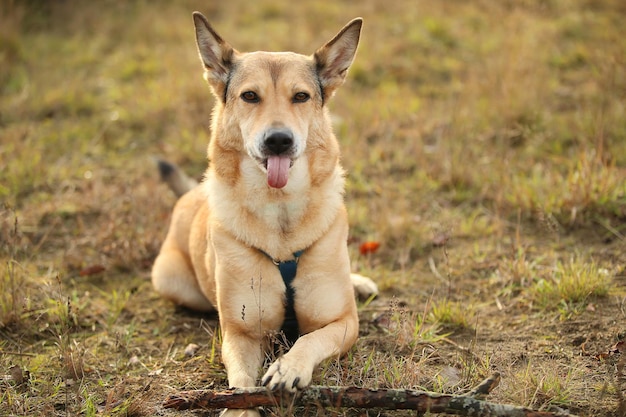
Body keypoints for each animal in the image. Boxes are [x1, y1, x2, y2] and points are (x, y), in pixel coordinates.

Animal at [151, 11, 376, 414]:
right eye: (250, 96)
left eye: (300, 96)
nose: (278, 141)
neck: (281, 210)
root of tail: (190, 193)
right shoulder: (241, 334)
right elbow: (241, 381)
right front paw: (241, 405)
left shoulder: (343, 322)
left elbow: (308, 339)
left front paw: (289, 367)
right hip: (173, 282)